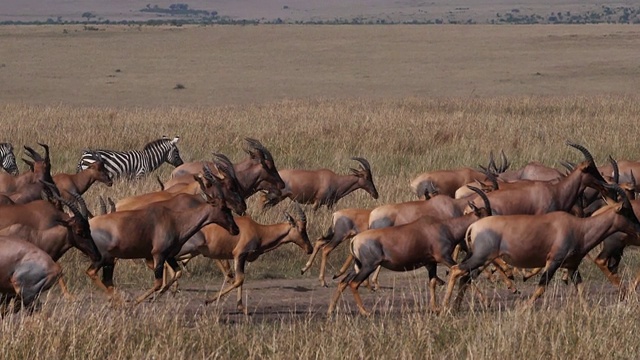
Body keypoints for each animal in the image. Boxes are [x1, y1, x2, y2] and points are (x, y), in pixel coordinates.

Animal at [176, 204, 312, 310]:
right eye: (301, 229)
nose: (309, 249)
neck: (258, 230)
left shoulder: (242, 258)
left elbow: (240, 279)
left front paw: (241, 307)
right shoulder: (239, 255)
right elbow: (239, 279)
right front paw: (208, 300)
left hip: (193, 251)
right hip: (186, 249)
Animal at [328, 186, 492, 316]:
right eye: (485, 214)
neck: (444, 227)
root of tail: (355, 240)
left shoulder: (431, 262)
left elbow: (432, 281)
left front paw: (435, 308)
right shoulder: (444, 257)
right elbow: (463, 272)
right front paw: (485, 301)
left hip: (359, 265)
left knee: (343, 282)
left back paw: (331, 309)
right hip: (369, 266)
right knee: (353, 284)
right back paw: (365, 312)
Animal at [442, 184, 640, 310]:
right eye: (627, 211)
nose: (639, 230)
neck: (577, 227)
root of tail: (474, 226)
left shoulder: (572, 266)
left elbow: (581, 291)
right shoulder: (553, 262)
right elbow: (541, 288)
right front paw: (522, 309)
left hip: (479, 259)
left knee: (464, 277)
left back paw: (455, 307)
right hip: (481, 258)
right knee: (456, 270)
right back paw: (445, 308)